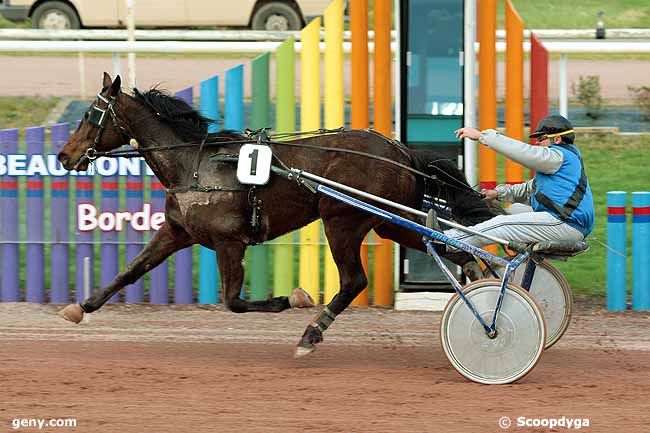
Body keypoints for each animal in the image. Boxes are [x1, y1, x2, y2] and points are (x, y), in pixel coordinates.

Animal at [57, 72, 496, 356]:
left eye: (90, 115)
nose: (64, 156)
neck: (194, 163)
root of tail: (400, 151)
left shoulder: (229, 242)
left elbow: (234, 302)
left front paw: (292, 298)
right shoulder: (177, 232)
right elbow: (131, 271)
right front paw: (81, 307)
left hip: (342, 219)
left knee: (354, 281)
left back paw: (311, 333)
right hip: (387, 221)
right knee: (444, 245)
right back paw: (477, 274)